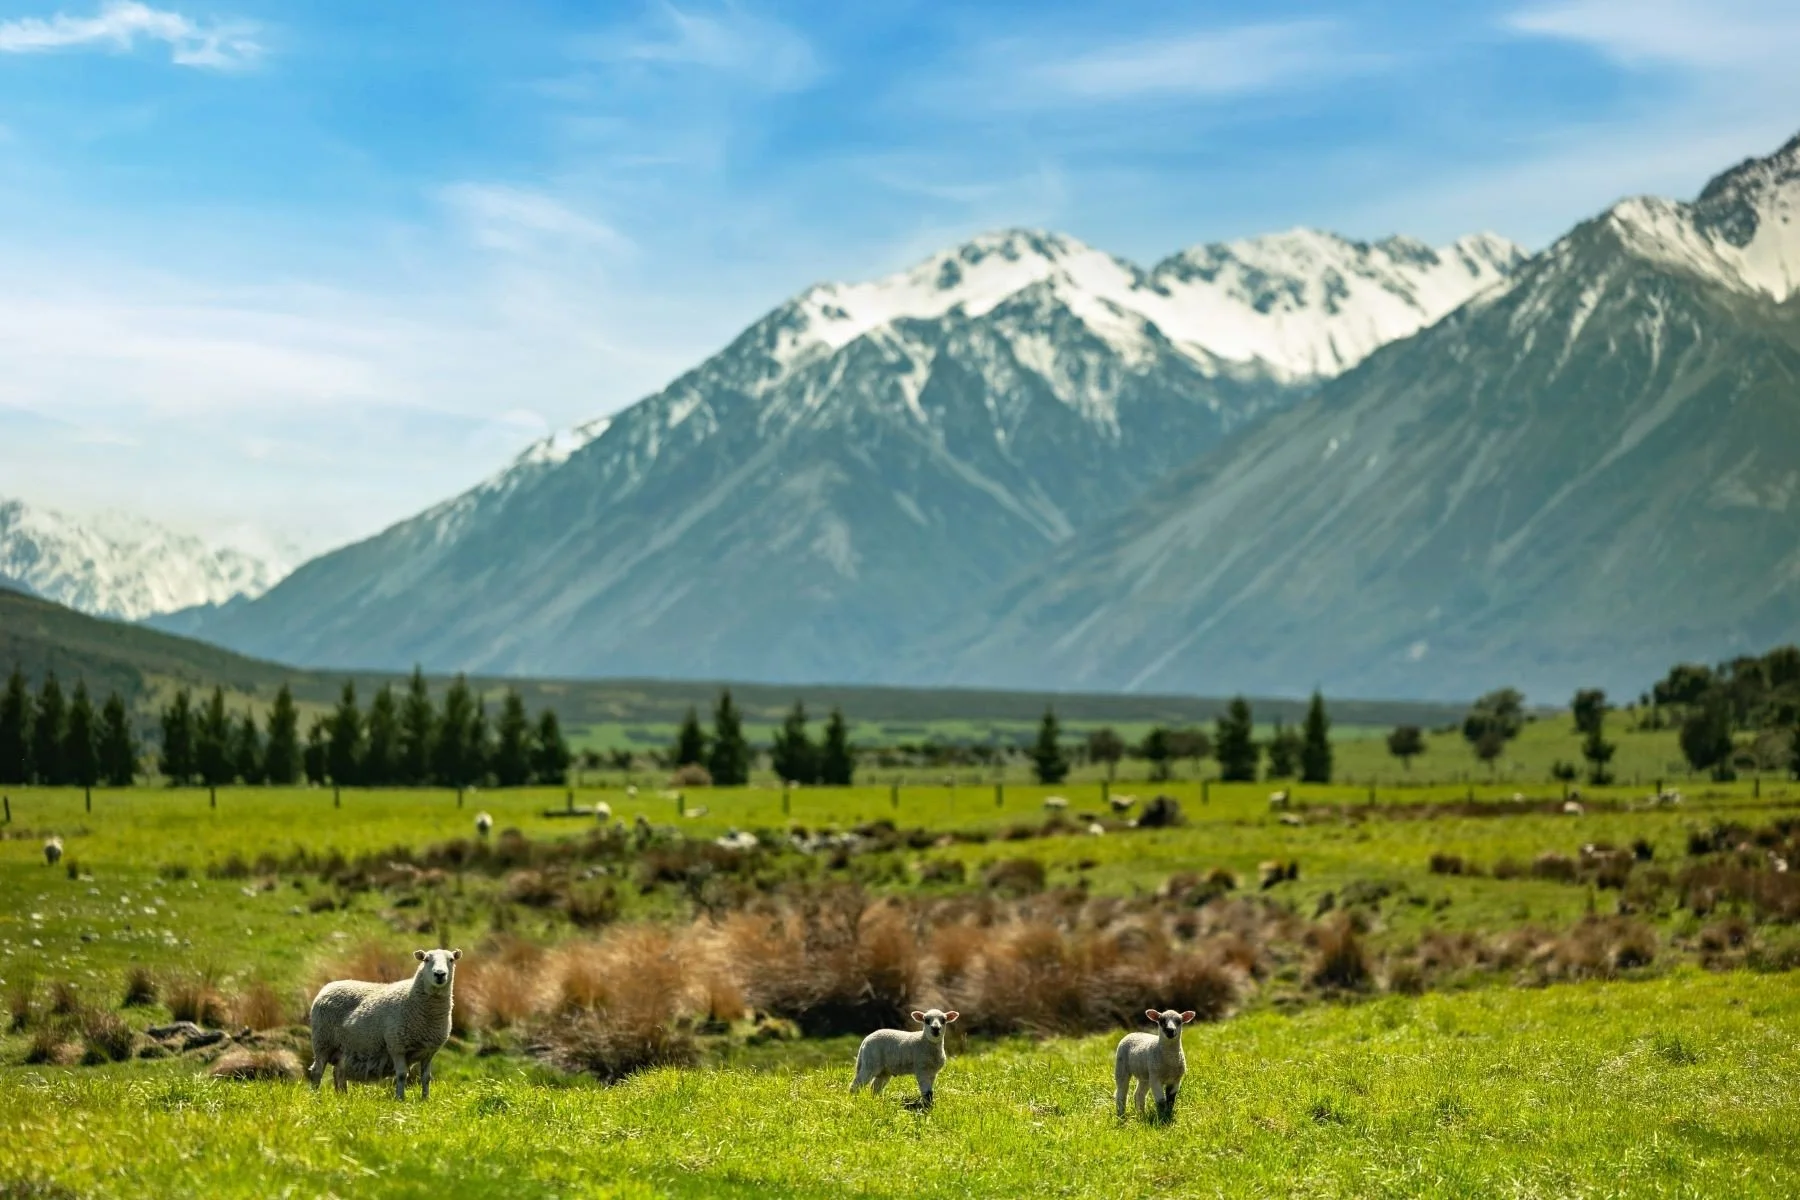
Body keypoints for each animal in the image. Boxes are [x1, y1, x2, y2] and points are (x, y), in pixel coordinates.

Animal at [307, 947, 462, 1101]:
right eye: (426, 959)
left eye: (451, 959)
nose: (440, 974)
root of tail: (327, 987)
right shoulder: (397, 1046)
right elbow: (401, 1075)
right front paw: (400, 1099)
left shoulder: (429, 1051)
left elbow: (426, 1077)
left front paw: (425, 1099)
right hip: (323, 1042)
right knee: (317, 1071)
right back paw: (315, 1097)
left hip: (342, 1047)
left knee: (339, 1072)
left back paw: (342, 1096)